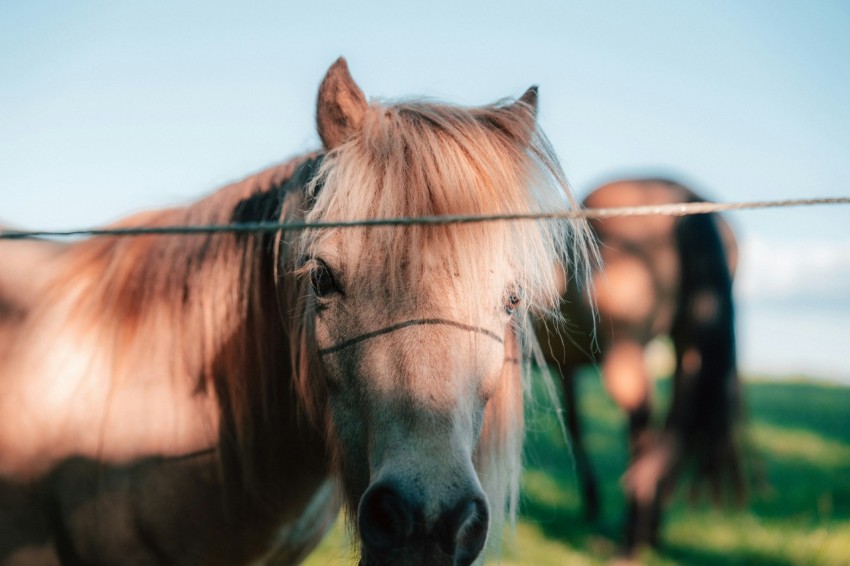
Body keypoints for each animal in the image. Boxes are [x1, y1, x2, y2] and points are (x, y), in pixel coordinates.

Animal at [536, 180, 744, 556]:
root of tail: (683, 195)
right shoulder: (563, 368)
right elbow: (574, 425)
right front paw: (591, 502)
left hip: (627, 354)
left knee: (643, 430)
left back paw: (631, 541)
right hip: (687, 350)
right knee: (674, 427)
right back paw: (649, 533)